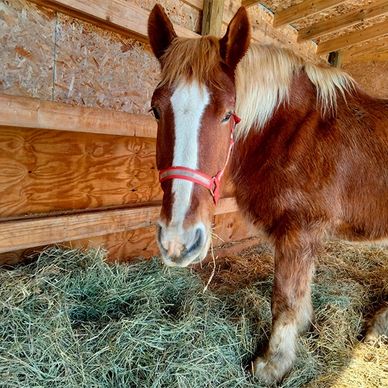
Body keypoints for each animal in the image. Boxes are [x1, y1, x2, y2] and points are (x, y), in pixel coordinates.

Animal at [147, 5, 386, 384]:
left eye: (228, 114)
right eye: (156, 110)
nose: (178, 242)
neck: (294, 132)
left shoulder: (300, 230)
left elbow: (285, 299)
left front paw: (273, 364)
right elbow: (300, 292)